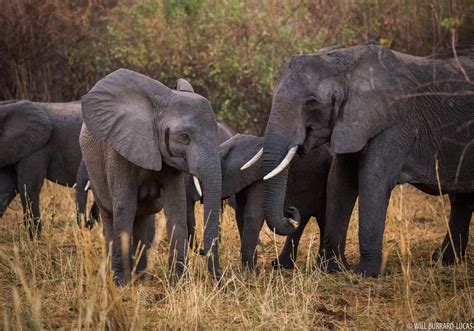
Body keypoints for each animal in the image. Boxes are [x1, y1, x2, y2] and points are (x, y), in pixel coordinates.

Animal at [80, 70, 223, 288]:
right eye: (184, 137)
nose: (221, 283)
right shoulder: (119, 152)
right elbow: (124, 208)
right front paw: (121, 285)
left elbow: (176, 210)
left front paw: (177, 285)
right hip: (93, 170)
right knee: (110, 215)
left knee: (140, 219)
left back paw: (140, 278)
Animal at [187, 134, 332, 272]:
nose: (290, 209)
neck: (225, 149)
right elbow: (241, 216)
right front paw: (247, 269)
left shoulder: (260, 179)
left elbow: (253, 215)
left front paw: (250, 273)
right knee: (302, 220)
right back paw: (281, 265)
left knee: (323, 219)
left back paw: (321, 267)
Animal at [248, 43, 474, 278]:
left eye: (312, 103)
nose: (291, 211)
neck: (346, 65)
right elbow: (340, 182)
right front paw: (332, 268)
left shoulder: (394, 123)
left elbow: (372, 180)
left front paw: (368, 273)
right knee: (462, 200)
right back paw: (445, 260)